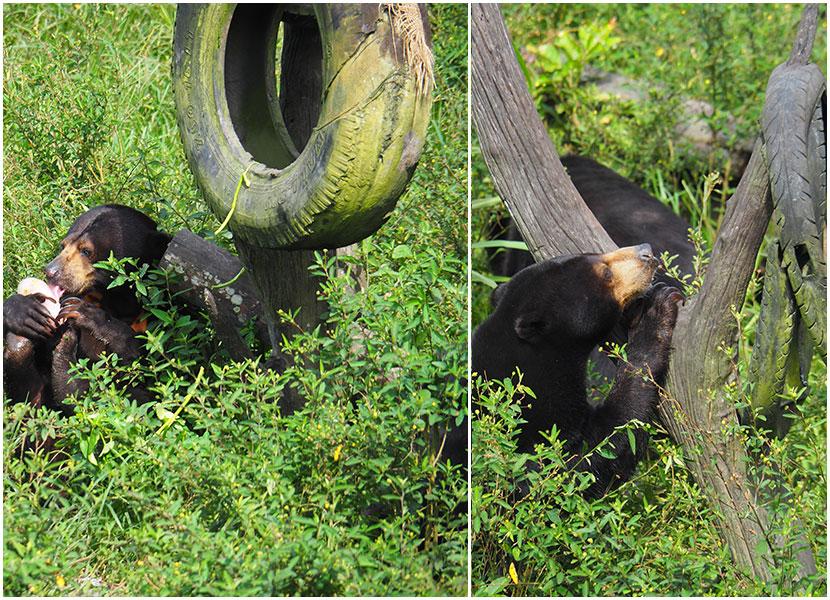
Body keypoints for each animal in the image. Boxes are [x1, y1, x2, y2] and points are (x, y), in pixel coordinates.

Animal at [2, 205, 172, 412]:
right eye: (63, 245)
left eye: (86, 250)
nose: (50, 271)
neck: (116, 300)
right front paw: (23, 311)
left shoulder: (157, 314)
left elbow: (152, 371)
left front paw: (87, 314)